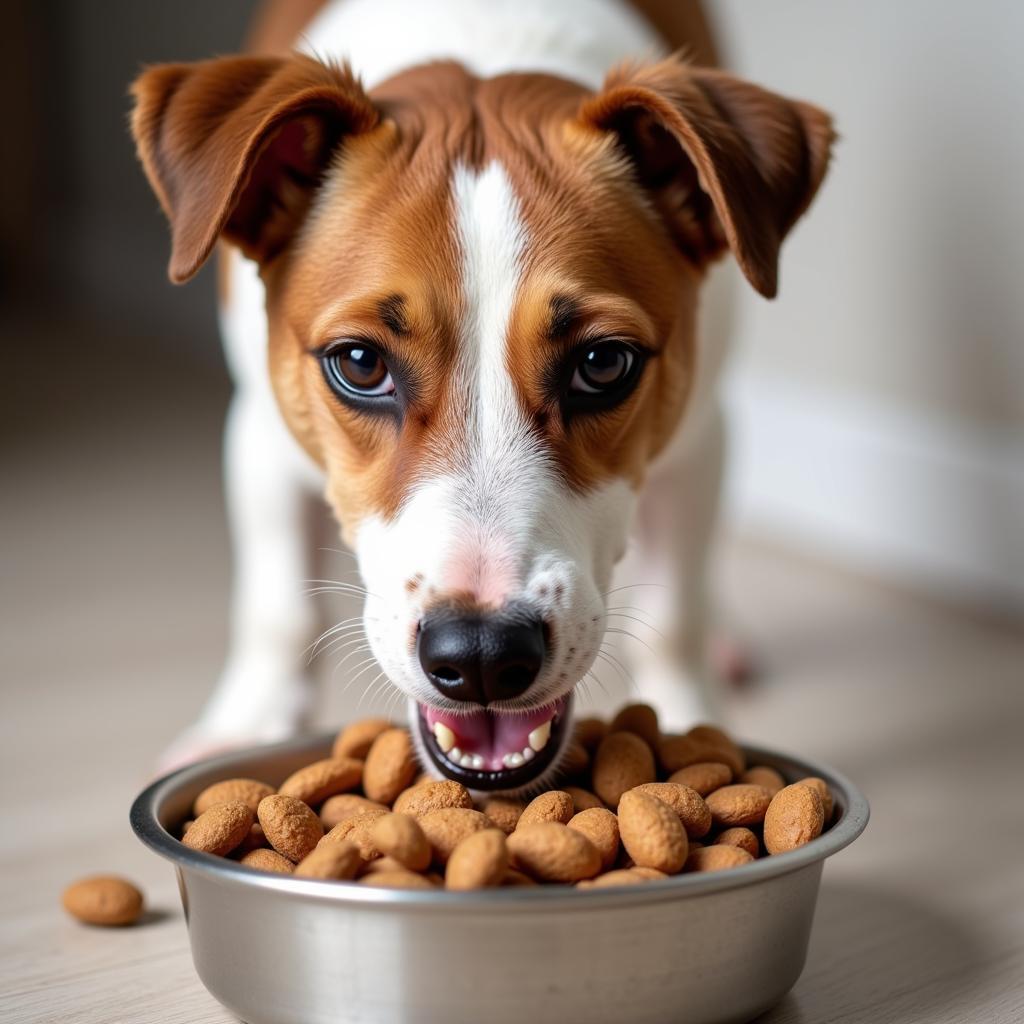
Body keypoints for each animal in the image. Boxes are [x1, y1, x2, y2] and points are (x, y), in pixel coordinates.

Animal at [130, 0, 831, 790]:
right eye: (360, 364)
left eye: (603, 362)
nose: (483, 656)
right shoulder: (262, 430)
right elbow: (275, 606)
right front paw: (247, 727)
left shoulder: (696, 436)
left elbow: (678, 606)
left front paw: (691, 723)